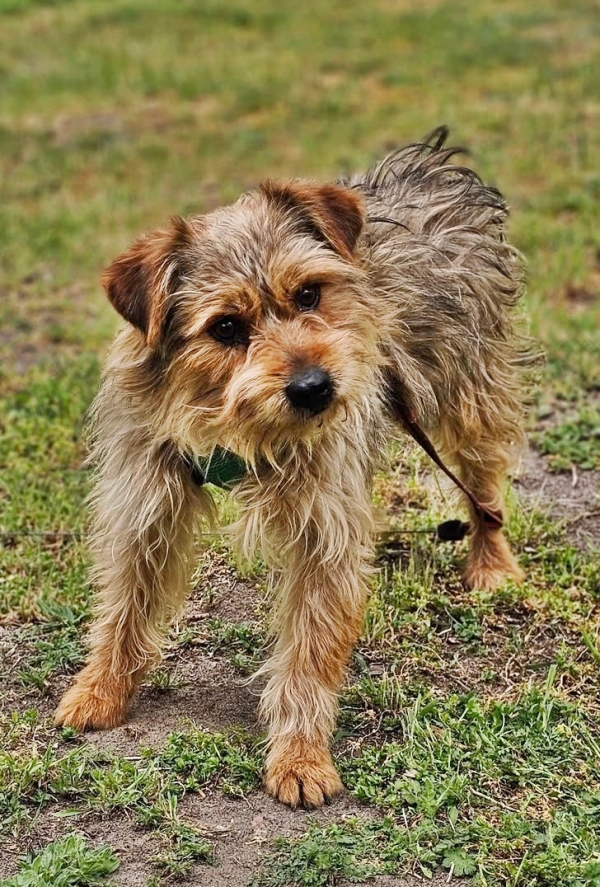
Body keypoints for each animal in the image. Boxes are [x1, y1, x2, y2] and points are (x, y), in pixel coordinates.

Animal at [56, 127, 534, 809]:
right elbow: (126, 601)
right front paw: (100, 688)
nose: (314, 387)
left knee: (483, 485)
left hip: (471, 390)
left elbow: (309, 650)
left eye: (309, 293)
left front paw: (301, 756)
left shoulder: (323, 530)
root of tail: (428, 166)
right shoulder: (146, 499)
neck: (235, 430)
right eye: (226, 327)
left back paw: (491, 564)